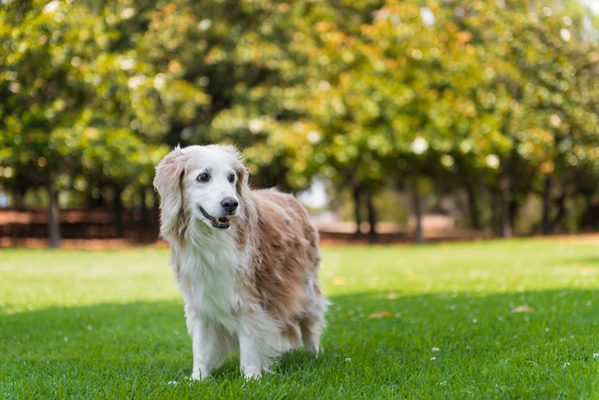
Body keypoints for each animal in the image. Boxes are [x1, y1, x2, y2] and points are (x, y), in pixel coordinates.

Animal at [154, 144, 328, 378]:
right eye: (203, 177)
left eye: (231, 178)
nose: (231, 203)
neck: (212, 240)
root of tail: (285, 195)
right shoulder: (199, 298)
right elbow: (200, 345)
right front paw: (198, 378)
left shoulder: (247, 296)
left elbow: (249, 342)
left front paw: (251, 377)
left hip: (306, 287)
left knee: (309, 323)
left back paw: (314, 354)